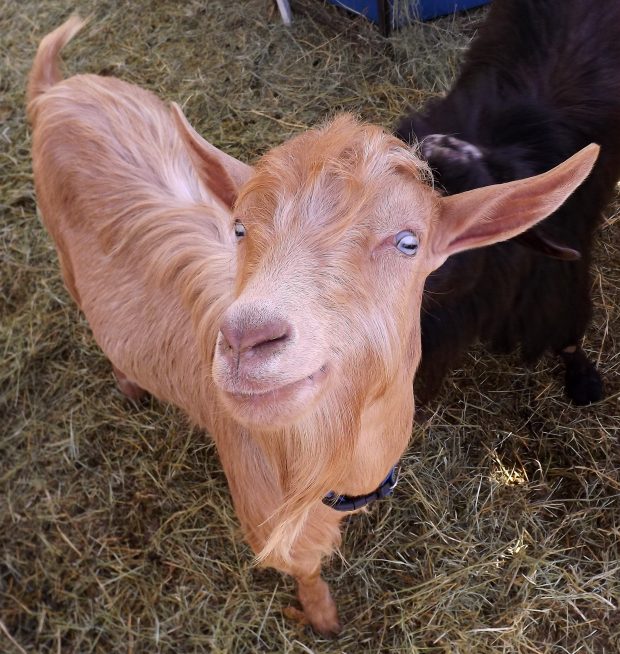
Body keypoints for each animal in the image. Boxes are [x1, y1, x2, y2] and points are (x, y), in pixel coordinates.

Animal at [28, 17, 598, 635]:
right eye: (239, 229)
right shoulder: (266, 510)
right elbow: (304, 567)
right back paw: (129, 384)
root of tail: (61, 89)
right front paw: (323, 618)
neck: (340, 463)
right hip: (61, 251)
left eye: (409, 242)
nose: (245, 339)